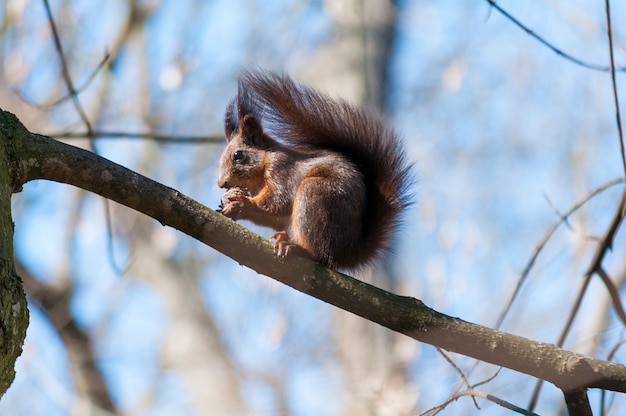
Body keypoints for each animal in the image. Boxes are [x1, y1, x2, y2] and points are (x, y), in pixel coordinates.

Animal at [217, 68, 412, 270]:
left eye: (238, 155)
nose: (222, 183)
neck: (265, 161)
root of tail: (348, 252)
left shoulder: (282, 168)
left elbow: (280, 200)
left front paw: (244, 203)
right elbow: (272, 216)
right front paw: (229, 201)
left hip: (314, 195)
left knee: (321, 255)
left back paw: (296, 248)